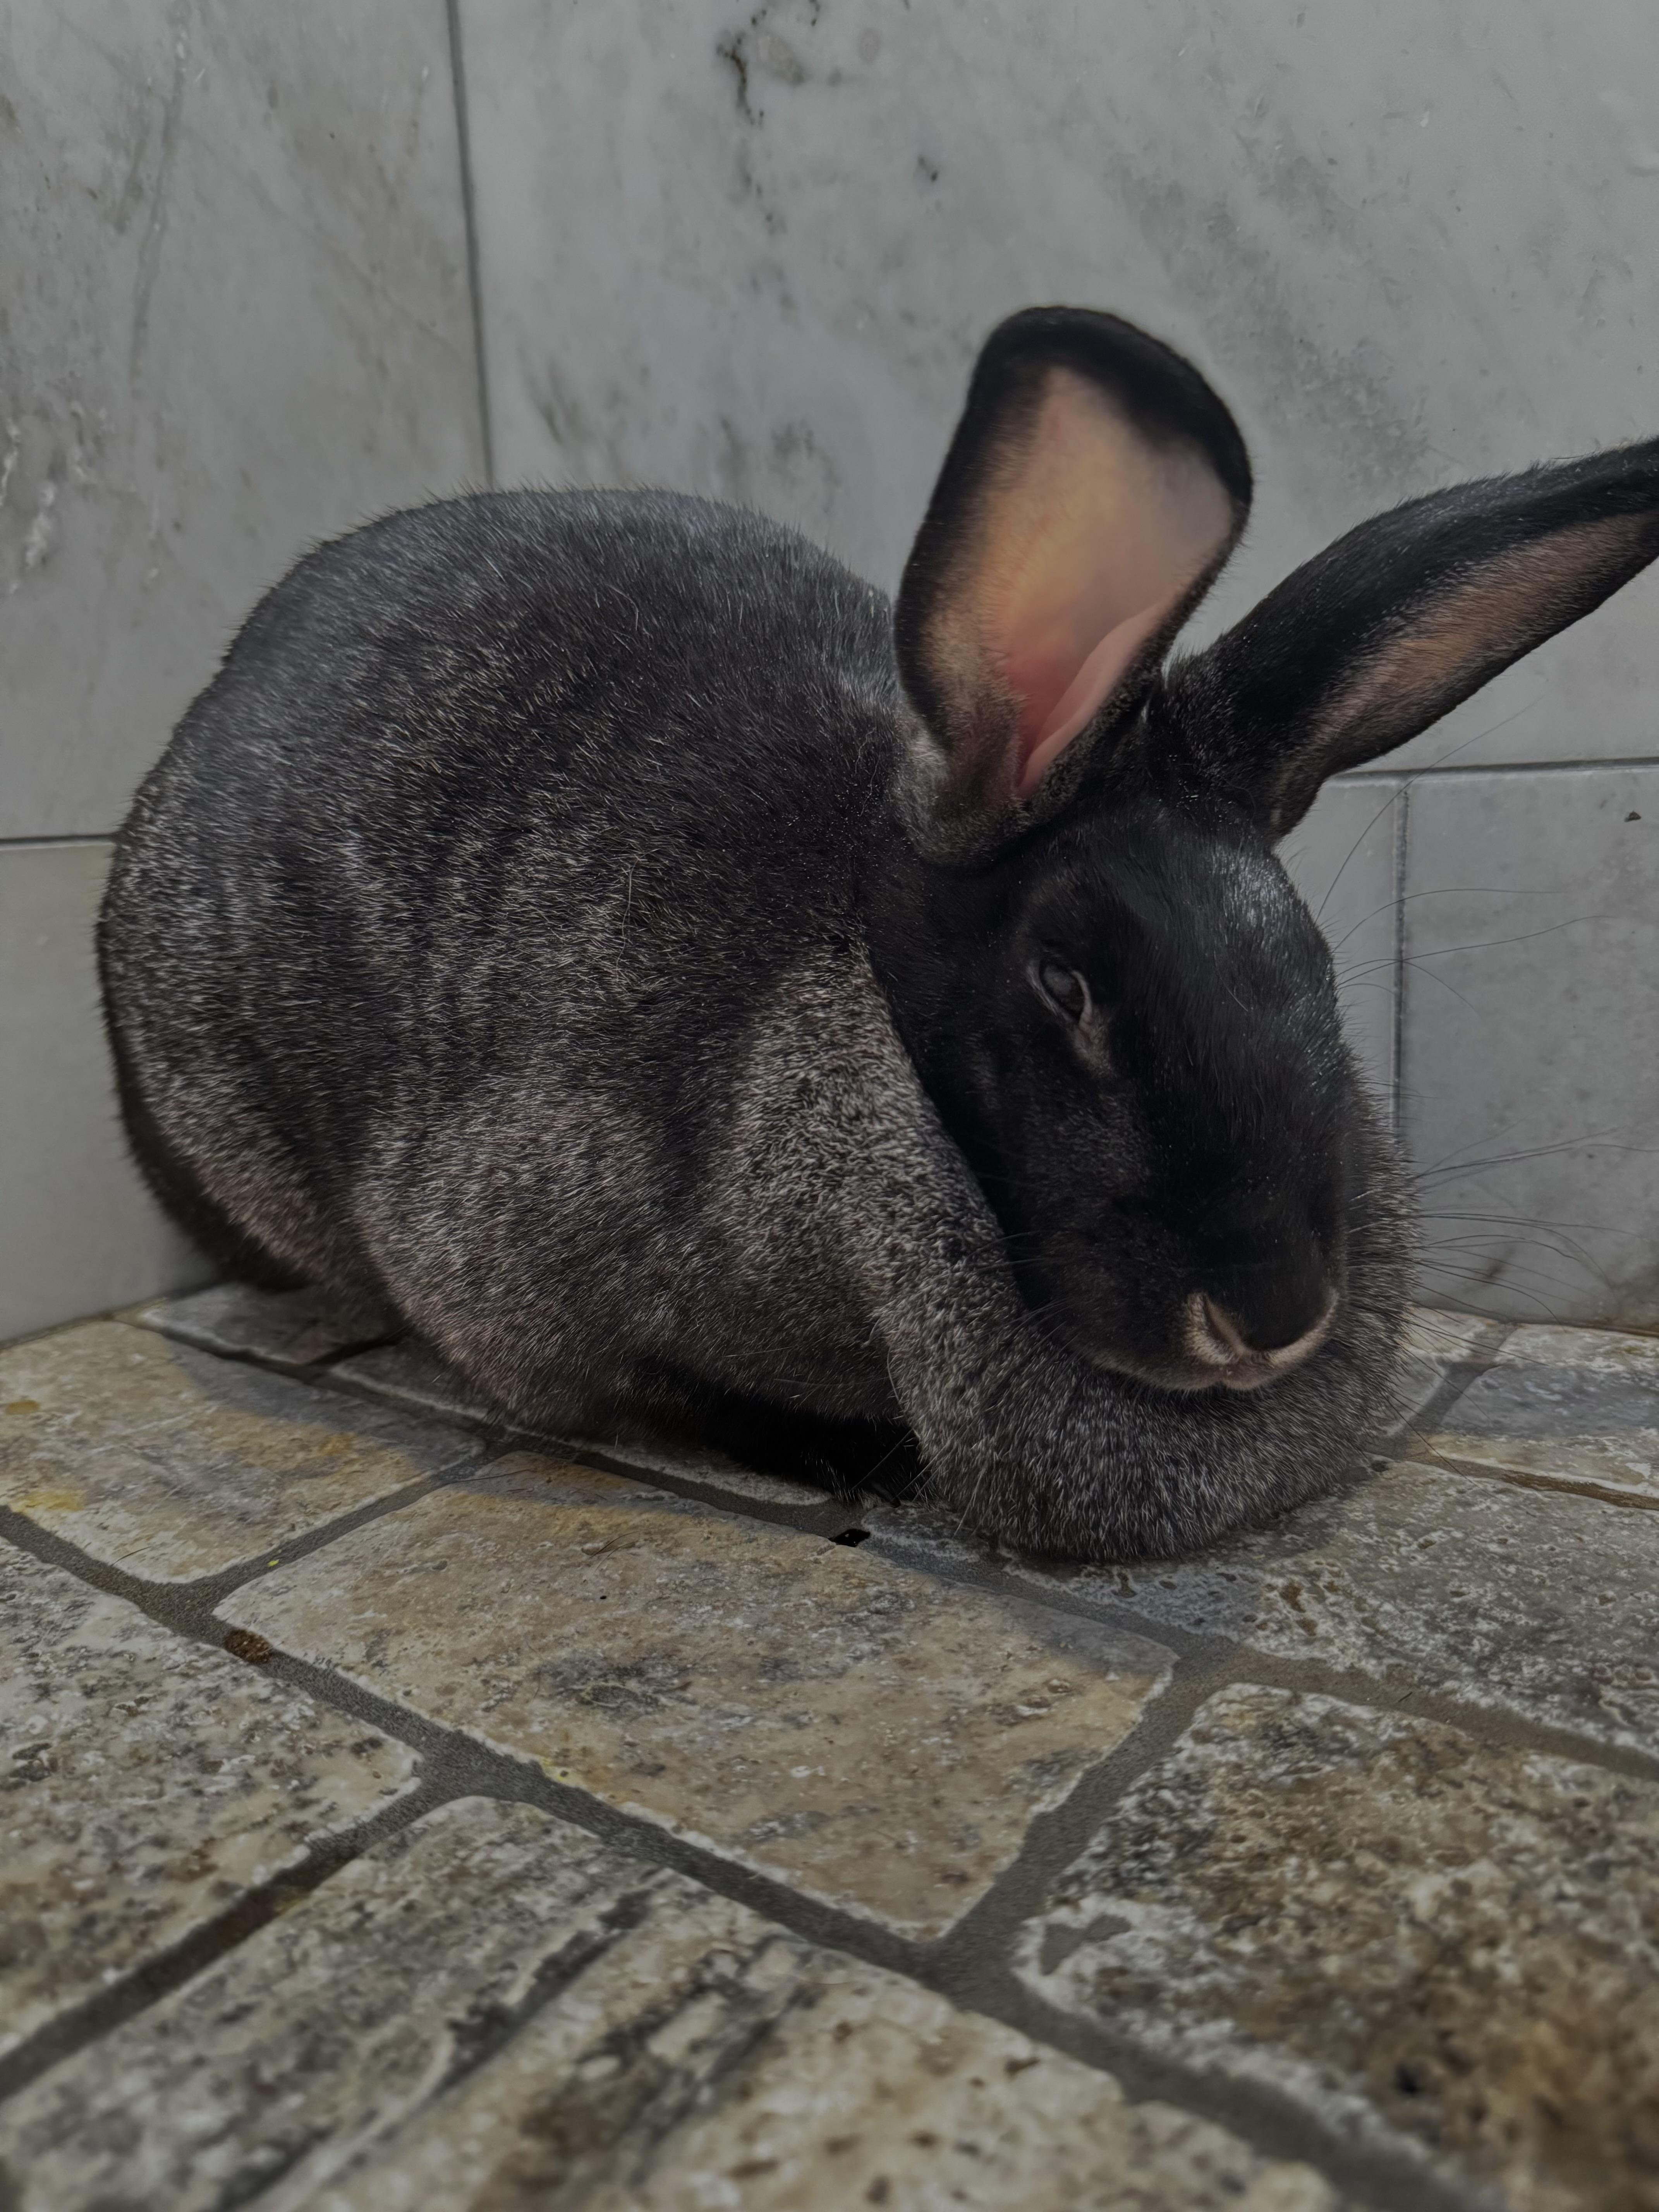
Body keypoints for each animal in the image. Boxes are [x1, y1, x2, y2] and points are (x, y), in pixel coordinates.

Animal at [99, 307, 1659, 1560]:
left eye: (1316, 969)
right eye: (1064, 982)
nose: (1271, 1315)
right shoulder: (507, 1264)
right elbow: (648, 1393)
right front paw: (837, 1454)